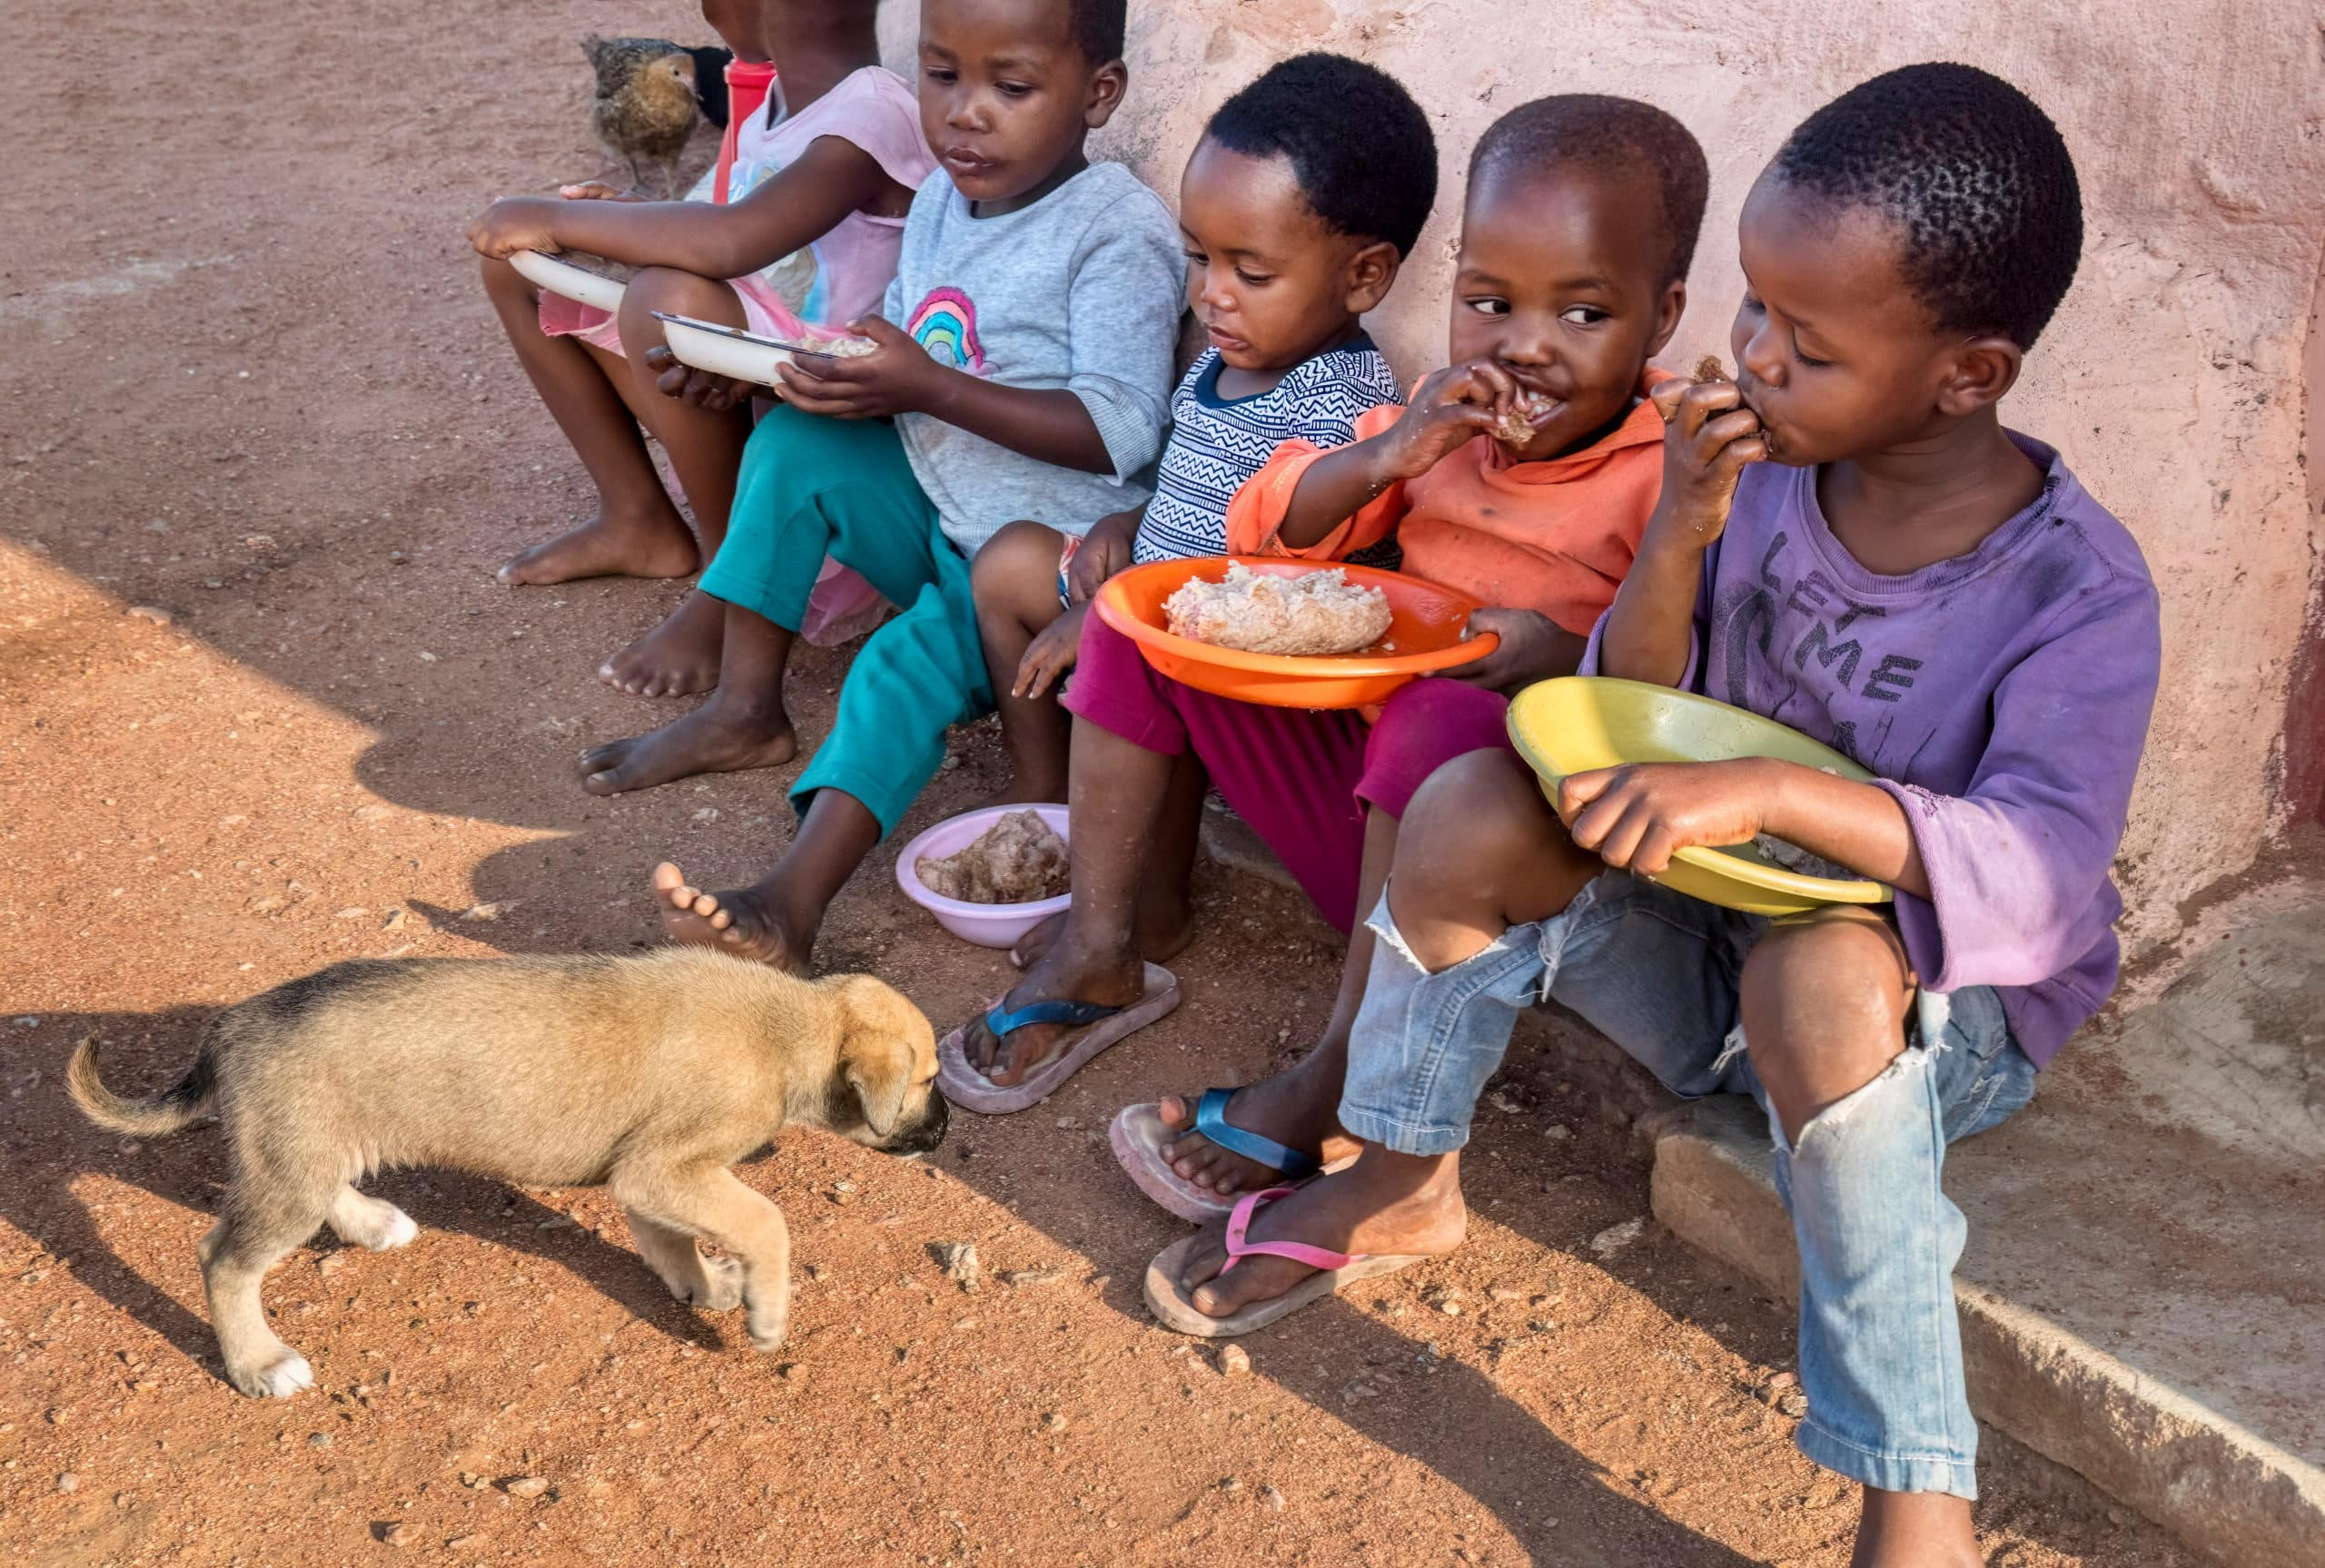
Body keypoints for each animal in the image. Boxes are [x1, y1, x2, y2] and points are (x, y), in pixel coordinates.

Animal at [73, 942, 944, 1403]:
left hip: (309, 1154)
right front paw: (764, 1312)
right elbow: (766, 1220)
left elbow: (669, 1238)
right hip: (286, 1177)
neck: (789, 1025)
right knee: (223, 1259)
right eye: (928, 1080)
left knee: (322, 1197)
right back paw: (258, 1362)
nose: (946, 1129)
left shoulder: (648, 1172)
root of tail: (232, 1024)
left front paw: (704, 1284)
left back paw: (374, 1221)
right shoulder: (666, 1162)